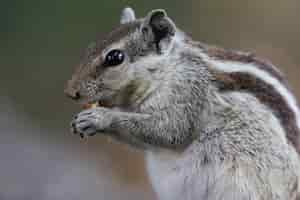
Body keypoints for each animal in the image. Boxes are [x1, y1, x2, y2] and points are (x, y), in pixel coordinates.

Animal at [64, 7, 298, 200]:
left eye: (115, 57)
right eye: (91, 47)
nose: (70, 92)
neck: (167, 69)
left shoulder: (190, 94)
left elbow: (171, 130)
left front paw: (100, 117)